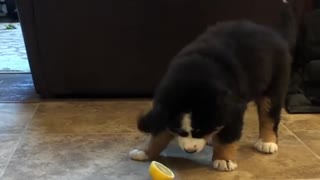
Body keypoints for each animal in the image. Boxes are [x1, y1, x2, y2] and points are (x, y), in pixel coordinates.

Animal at [129, 3, 294, 172]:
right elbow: (158, 132)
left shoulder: (233, 109)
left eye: (201, 130)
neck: (194, 78)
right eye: (179, 131)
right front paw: (144, 151)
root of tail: (274, 34)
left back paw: (267, 142)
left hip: (274, 86)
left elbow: (227, 136)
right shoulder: (167, 104)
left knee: (269, 115)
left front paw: (223, 159)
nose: (190, 150)